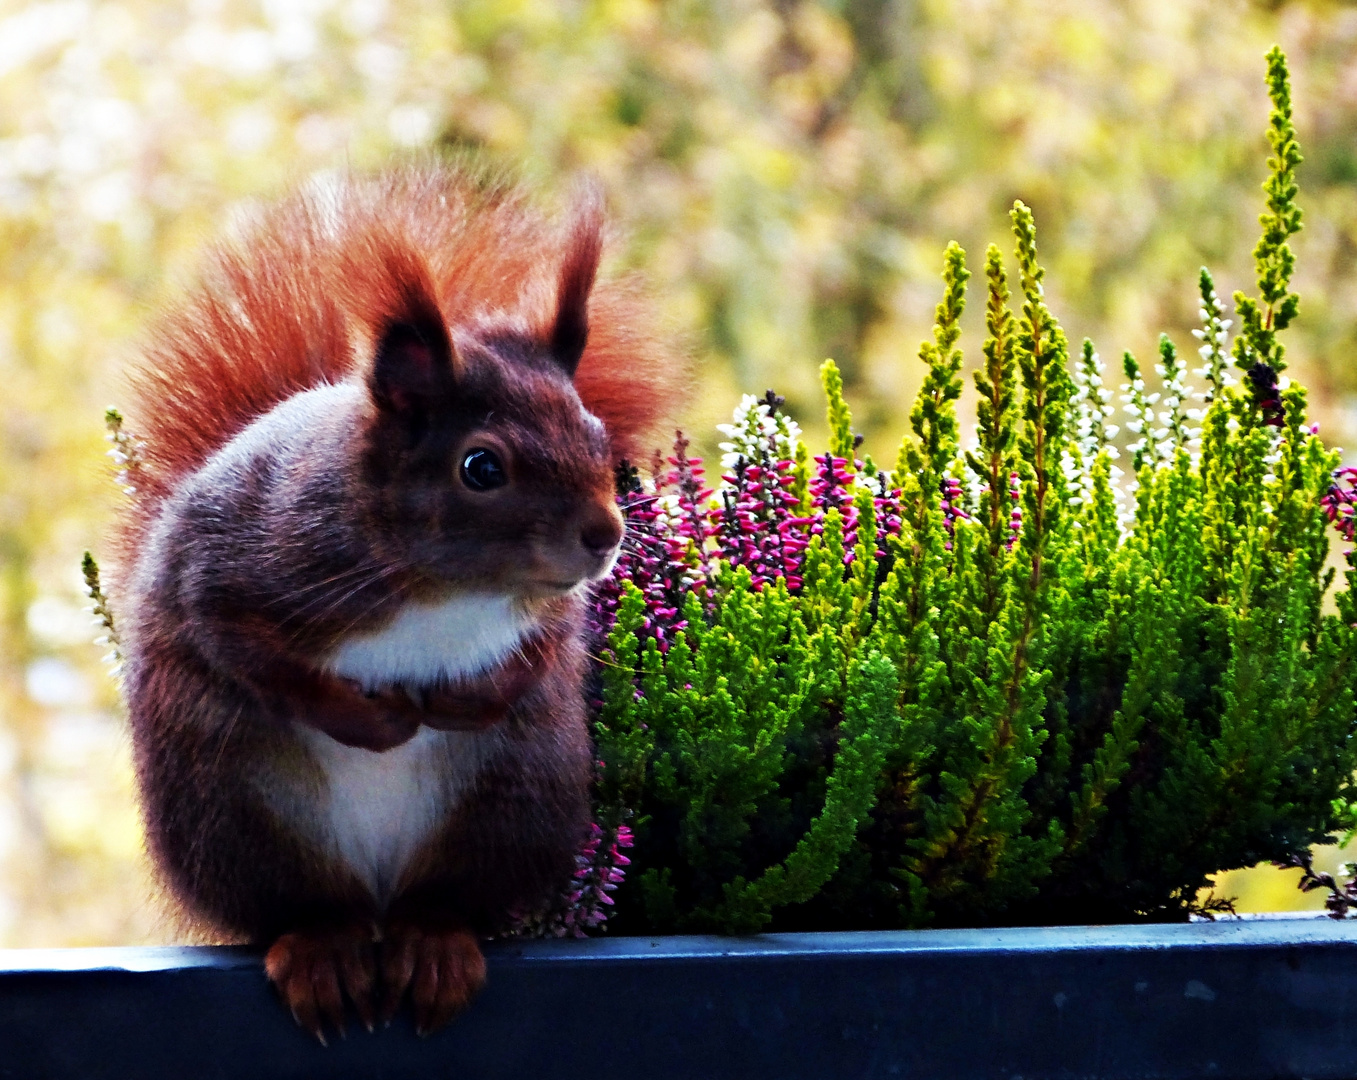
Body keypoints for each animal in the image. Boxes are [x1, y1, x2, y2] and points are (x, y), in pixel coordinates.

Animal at [108, 166, 678, 1036]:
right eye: (481, 467)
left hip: (514, 799)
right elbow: (242, 646)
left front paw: (461, 703)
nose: (605, 536)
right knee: (299, 905)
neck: (446, 589)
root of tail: (376, 897)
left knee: (445, 900)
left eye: (595, 436)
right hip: (233, 809)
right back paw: (321, 947)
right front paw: (375, 722)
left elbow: (542, 653)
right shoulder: (231, 563)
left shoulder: (552, 614)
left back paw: (432, 942)